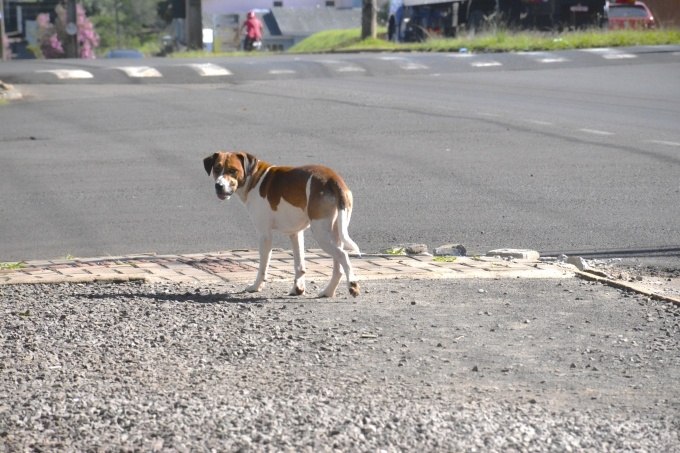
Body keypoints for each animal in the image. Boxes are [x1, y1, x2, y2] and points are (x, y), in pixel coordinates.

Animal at [203, 151, 358, 296]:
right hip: (335, 233)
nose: (219, 186)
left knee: (343, 256)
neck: (254, 178)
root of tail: (333, 178)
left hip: (322, 234)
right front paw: (298, 289)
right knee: (338, 266)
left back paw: (353, 285)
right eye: (217, 168)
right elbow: (299, 265)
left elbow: (263, 267)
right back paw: (328, 292)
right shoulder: (296, 233)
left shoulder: (265, 235)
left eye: (232, 170)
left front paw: (256, 286)